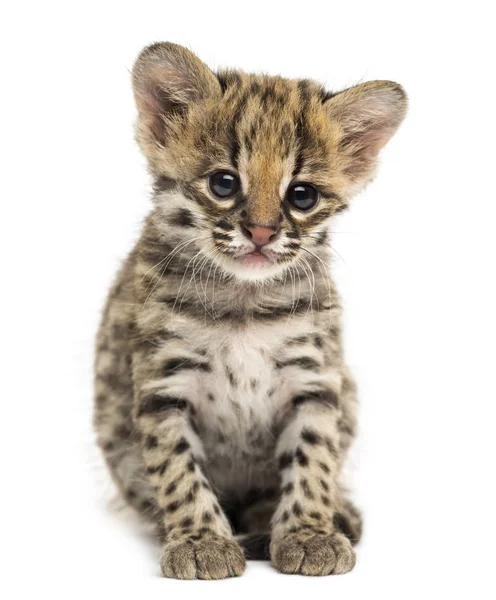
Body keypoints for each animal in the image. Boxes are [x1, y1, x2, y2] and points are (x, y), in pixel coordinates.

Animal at [94, 41, 406, 576]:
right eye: (223, 184)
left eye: (302, 195)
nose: (261, 232)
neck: (244, 297)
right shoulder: (163, 383)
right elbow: (176, 468)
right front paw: (200, 540)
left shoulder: (315, 378)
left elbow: (314, 458)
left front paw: (309, 532)